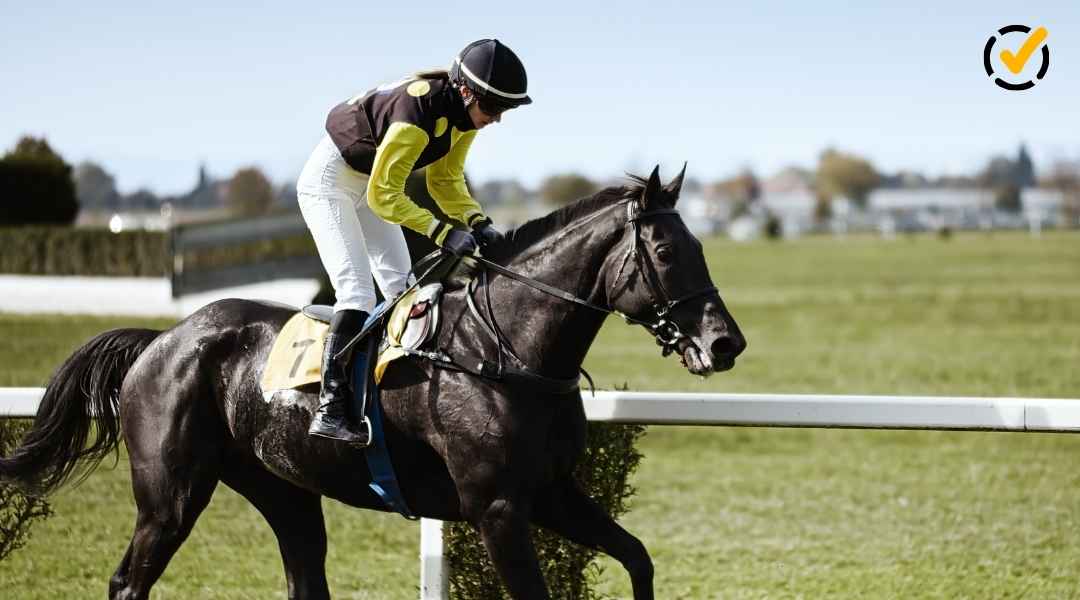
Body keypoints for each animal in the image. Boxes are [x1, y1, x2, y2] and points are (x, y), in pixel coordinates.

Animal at [0, 165, 746, 600]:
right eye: (666, 252)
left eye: (702, 247)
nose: (725, 342)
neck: (505, 350)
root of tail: (163, 339)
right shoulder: (499, 507)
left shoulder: (553, 493)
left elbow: (639, 559)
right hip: (169, 496)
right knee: (129, 583)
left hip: (284, 489)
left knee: (304, 577)